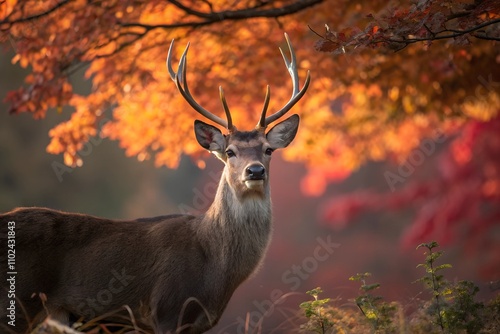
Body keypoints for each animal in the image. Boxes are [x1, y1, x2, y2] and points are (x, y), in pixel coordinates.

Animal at [0, 32, 308, 332]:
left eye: (268, 150)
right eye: (230, 152)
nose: (255, 171)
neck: (215, 267)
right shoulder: (167, 310)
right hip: (17, 303)